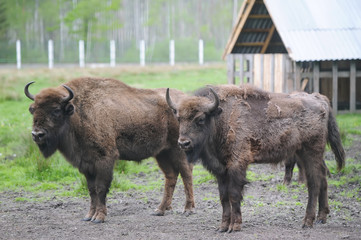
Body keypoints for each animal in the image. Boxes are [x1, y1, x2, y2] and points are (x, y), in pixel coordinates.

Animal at [24, 78, 194, 223]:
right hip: (162, 153)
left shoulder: (104, 159)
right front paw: (88, 216)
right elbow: (91, 190)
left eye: (56, 110)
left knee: (186, 174)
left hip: (178, 149)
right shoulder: (86, 164)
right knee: (171, 176)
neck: (78, 112)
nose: (37, 134)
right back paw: (160, 210)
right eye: (33, 109)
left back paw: (188, 209)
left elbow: (100, 188)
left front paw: (99, 217)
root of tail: (184, 100)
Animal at [167, 84, 346, 232]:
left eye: (200, 119)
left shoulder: (237, 164)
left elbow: (234, 195)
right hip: (305, 154)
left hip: (311, 153)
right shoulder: (221, 170)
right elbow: (223, 197)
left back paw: (307, 222)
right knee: (322, 179)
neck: (221, 118)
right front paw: (222, 227)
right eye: (179, 118)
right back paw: (321, 218)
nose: (183, 143)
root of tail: (320, 99)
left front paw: (235, 226)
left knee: (314, 183)